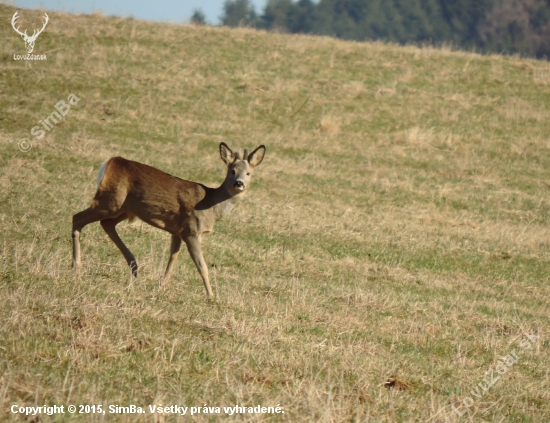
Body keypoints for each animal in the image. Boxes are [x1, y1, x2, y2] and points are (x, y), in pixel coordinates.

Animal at [71, 144, 268, 300]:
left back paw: (134, 268)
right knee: (77, 218)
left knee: (106, 224)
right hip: (111, 200)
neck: (210, 207)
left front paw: (161, 287)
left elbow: (172, 258)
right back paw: (76, 268)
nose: (239, 184)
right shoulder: (191, 231)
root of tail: (111, 162)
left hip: (125, 209)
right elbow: (202, 266)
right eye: (232, 171)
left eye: (248, 173)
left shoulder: (177, 231)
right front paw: (212, 297)